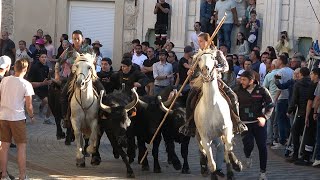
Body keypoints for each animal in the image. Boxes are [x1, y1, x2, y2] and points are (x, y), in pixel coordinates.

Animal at [192, 48, 242, 179]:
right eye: (199, 59)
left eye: (213, 58)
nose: (206, 70)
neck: (212, 105)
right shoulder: (205, 137)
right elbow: (212, 163)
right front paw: (212, 173)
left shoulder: (227, 129)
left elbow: (228, 148)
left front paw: (235, 166)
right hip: (200, 135)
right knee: (203, 151)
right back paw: (204, 166)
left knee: (225, 147)